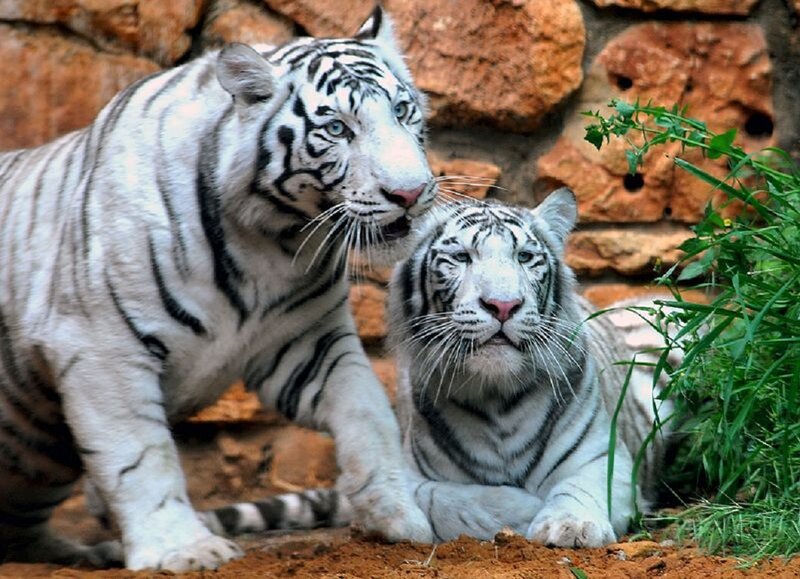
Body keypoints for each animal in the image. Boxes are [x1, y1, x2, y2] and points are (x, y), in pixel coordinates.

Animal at [0, 7, 437, 571]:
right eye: (338, 128)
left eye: (403, 112)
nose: (409, 193)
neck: (269, 239)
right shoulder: (100, 346)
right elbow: (141, 453)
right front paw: (183, 549)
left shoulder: (306, 343)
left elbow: (369, 412)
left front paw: (396, 514)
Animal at [200, 189, 676, 547]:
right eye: (461, 257)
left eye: (525, 257)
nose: (503, 305)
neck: (497, 398)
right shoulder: (404, 477)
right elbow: (449, 500)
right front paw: (521, 509)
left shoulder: (601, 458)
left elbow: (577, 489)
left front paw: (571, 527)